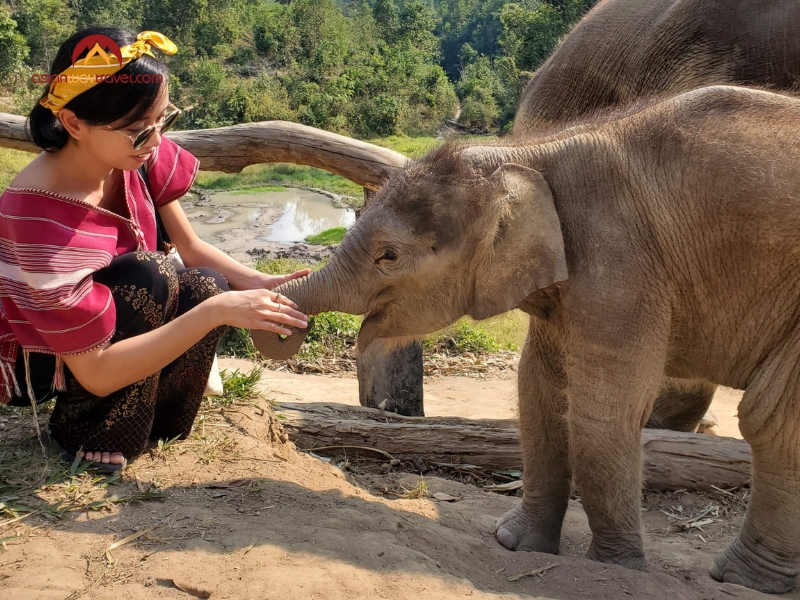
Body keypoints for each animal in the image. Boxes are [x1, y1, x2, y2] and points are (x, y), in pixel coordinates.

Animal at [254, 85, 800, 593]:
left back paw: (743, 578)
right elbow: (538, 396)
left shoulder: (619, 269)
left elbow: (601, 415)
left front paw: (617, 569)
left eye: (389, 256)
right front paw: (514, 543)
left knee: (769, 417)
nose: (284, 326)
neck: (526, 156)